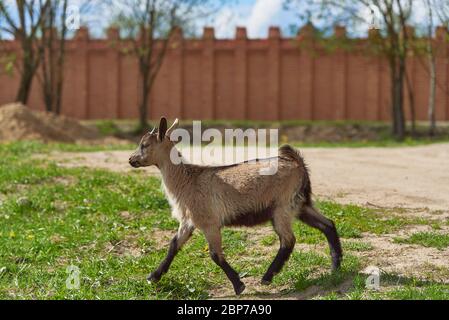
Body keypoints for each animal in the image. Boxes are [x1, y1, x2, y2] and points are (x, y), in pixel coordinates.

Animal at [128, 117, 342, 296]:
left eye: (144, 145)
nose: (131, 159)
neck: (187, 181)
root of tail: (297, 162)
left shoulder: (209, 223)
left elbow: (215, 255)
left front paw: (239, 285)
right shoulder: (188, 221)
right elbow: (173, 245)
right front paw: (153, 277)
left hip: (282, 207)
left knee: (288, 240)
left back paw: (267, 277)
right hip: (300, 205)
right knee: (327, 224)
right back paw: (336, 266)